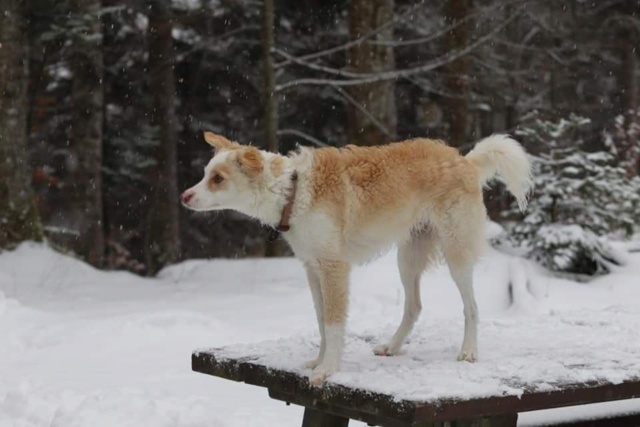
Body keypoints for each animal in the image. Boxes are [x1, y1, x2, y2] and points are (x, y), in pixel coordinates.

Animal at [182, 132, 532, 386]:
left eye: (218, 179)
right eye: (206, 174)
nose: (184, 196)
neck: (293, 192)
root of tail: (464, 161)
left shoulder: (334, 269)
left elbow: (334, 324)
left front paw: (328, 370)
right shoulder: (313, 270)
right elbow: (322, 322)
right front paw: (320, 361)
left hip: (456, 255)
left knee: (471, 307)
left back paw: (469, 351)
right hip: (407, 259)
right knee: (414, 306)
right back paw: (392, 346)